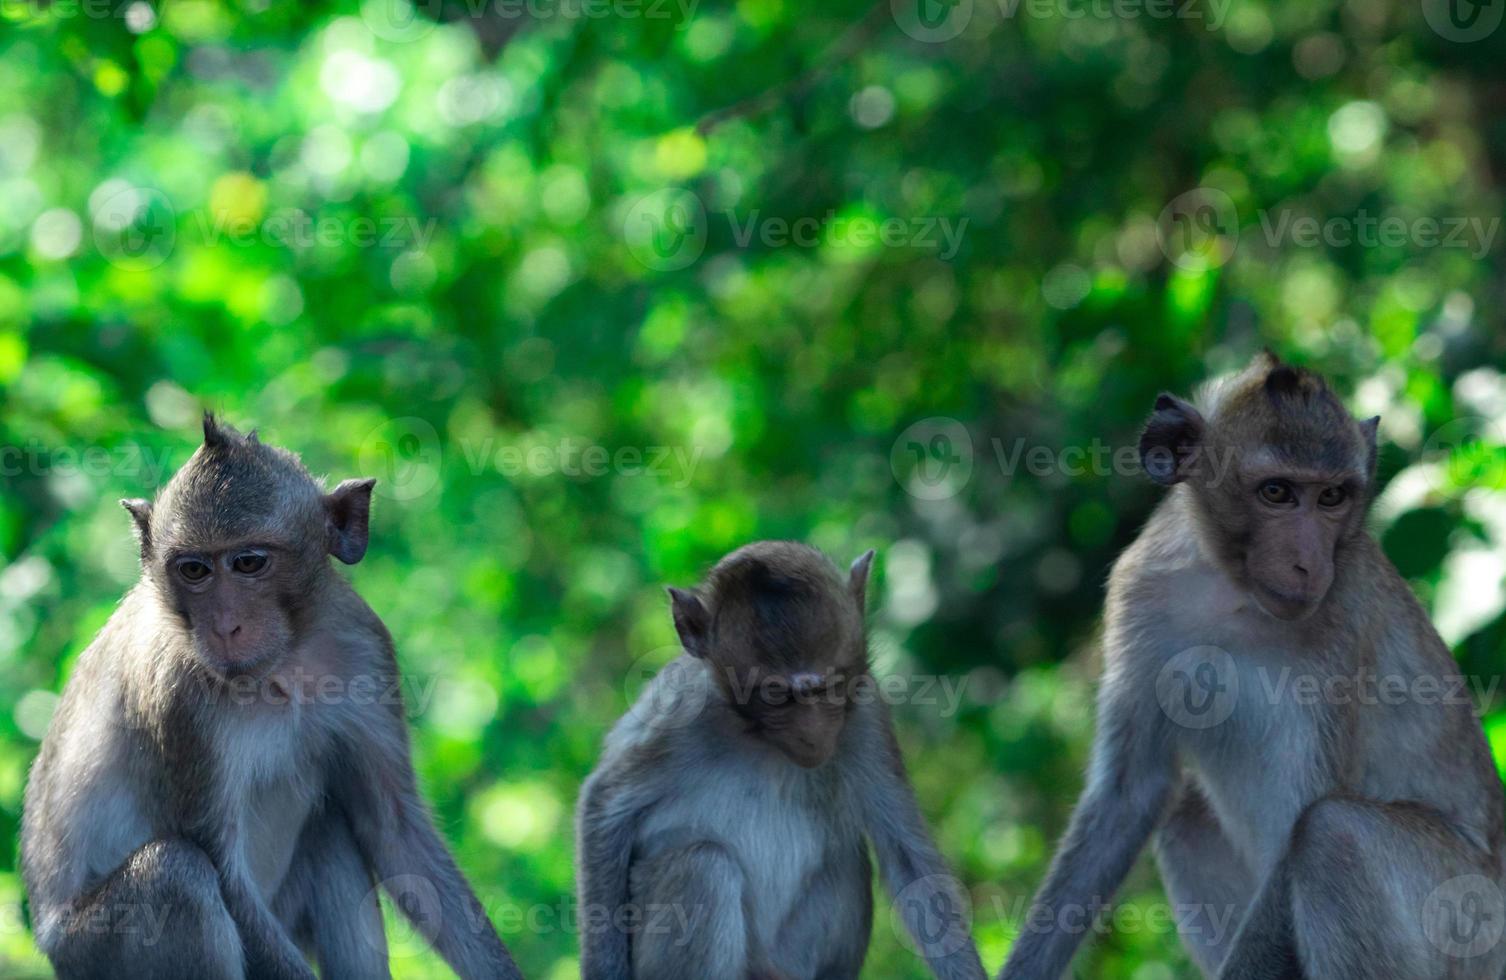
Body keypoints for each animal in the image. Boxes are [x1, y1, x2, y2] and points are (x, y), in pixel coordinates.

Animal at [14, 418, 524, 980]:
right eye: (194, 570)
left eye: (249, 563)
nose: (225, 626)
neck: (280, 666)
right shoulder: (177, 697)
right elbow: (226, 877)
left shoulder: (366, 647)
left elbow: (393, 831)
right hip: (93, 951)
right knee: (178, 873)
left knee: (330, 829)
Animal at [575, 541, 987, 980]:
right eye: (776, 696)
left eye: (832, 686)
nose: (813, 734)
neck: (757, 736)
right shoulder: (680, 714)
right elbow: (603, 808)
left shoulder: (865, 716)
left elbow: (908, 858)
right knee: (703, 865)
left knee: (845, 858)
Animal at [999, 352, 1506, 980]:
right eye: (1277, 492)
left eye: (1332, 497)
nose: (1308, 564)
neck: (1231, 592)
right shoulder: (1140, 589)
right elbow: (1130, 791)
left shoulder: (1342, 616)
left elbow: (1297, 828)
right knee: (1187, 814)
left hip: (1472, 919)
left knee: (1333, 835)